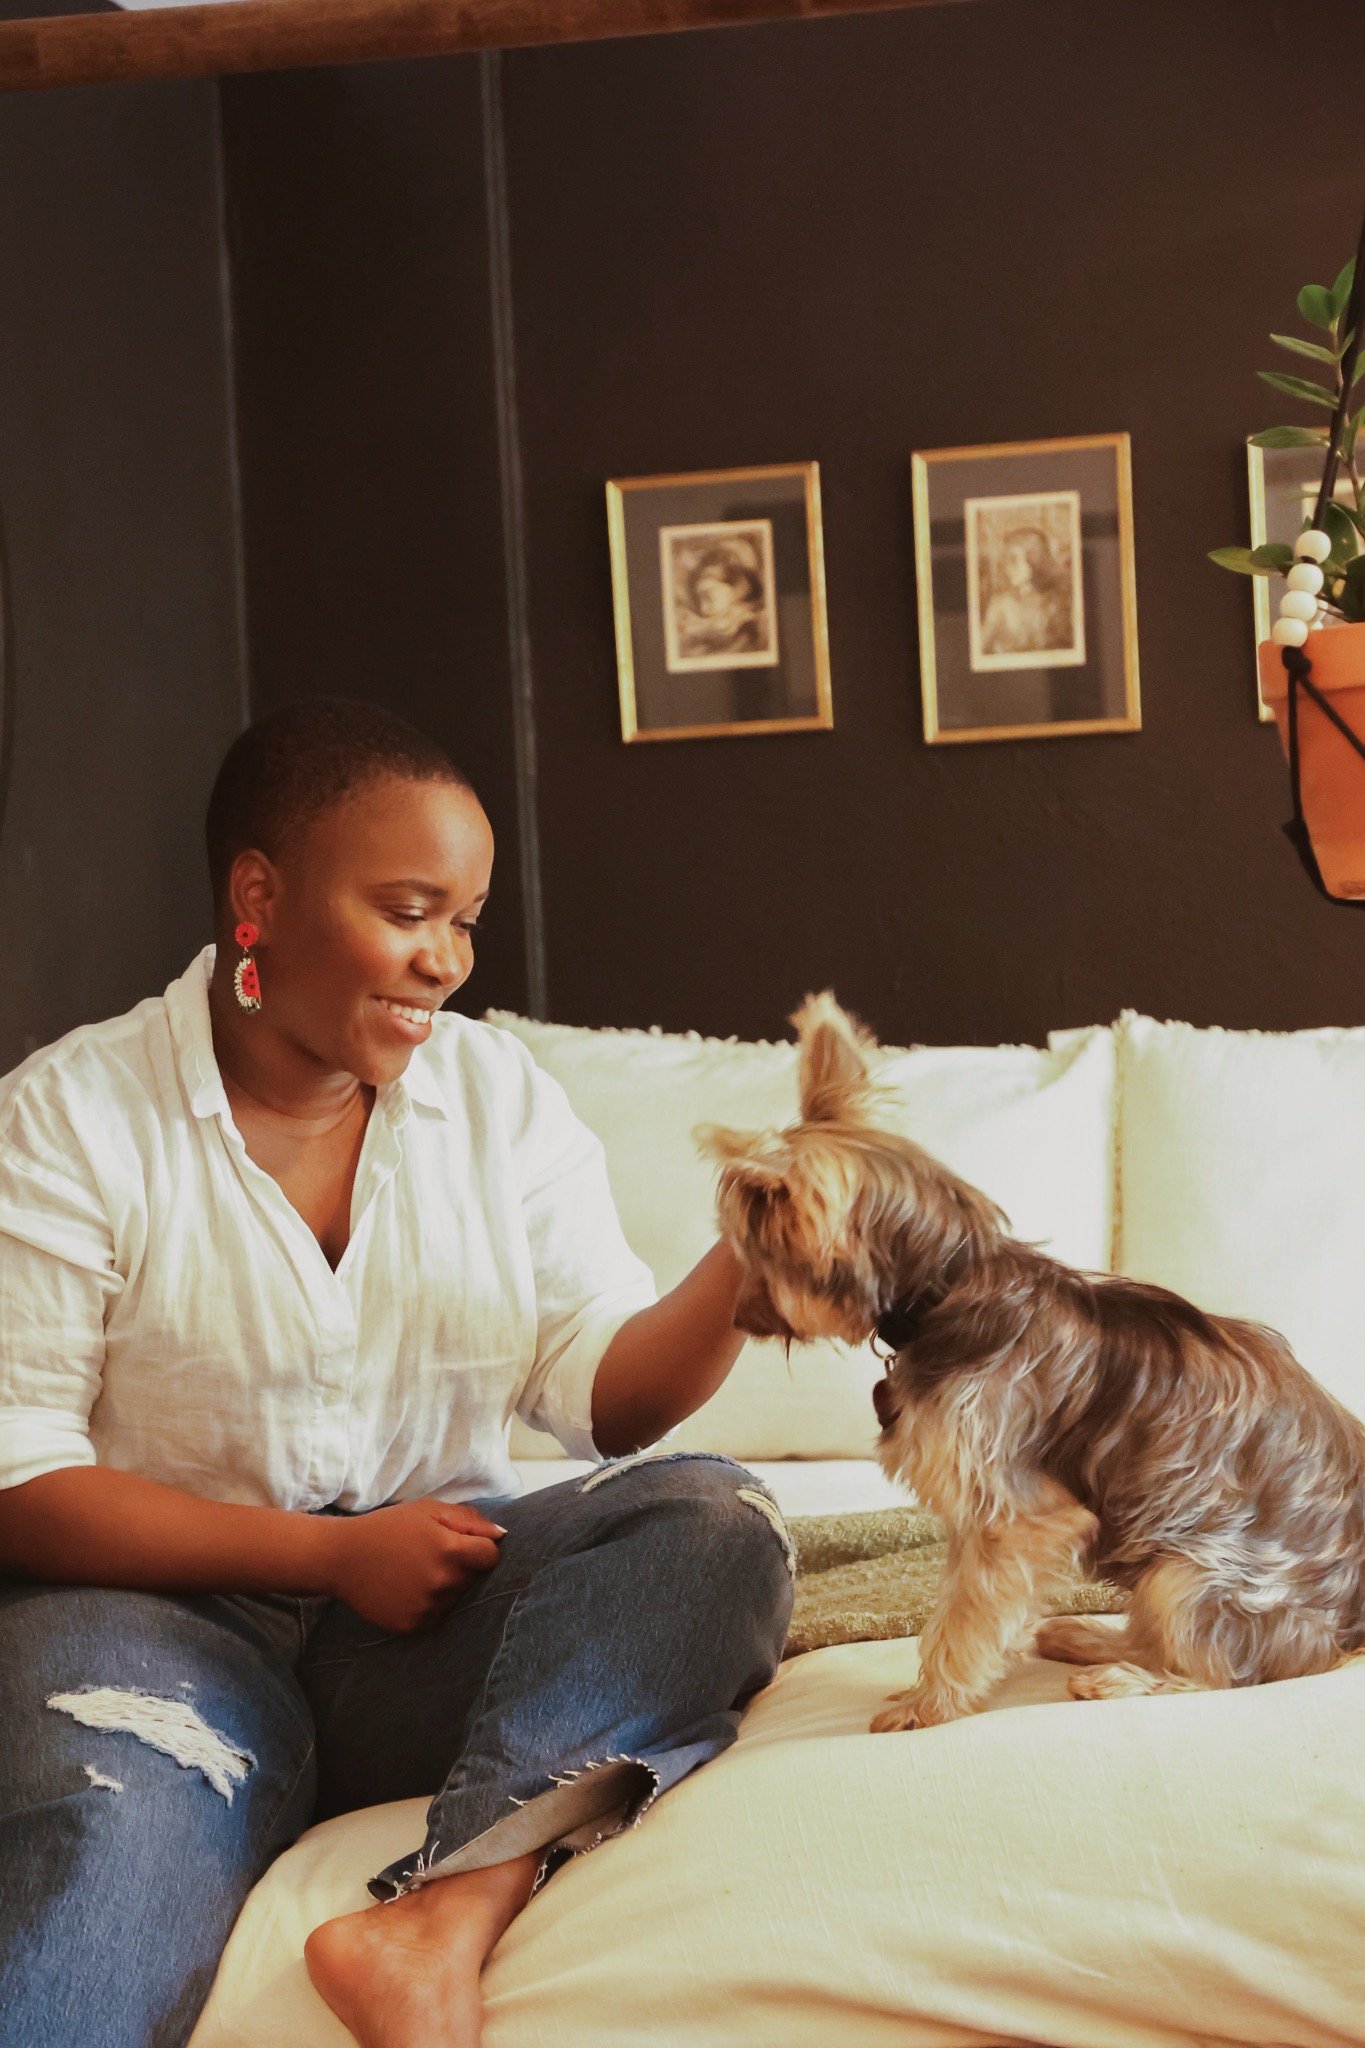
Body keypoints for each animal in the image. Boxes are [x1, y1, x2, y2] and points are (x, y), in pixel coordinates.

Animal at [703, 991, 1365, 1728]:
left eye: (753, 1256)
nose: (736, 1317)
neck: (946, 1286)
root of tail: (1346, 1632)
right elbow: (965, 1604)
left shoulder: (1017, 1515)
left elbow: (963, 1616)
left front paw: (929, 1703)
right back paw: (1086, 1638)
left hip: (1194, 1569)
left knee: (1220, 1672)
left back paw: (1120, 1679)